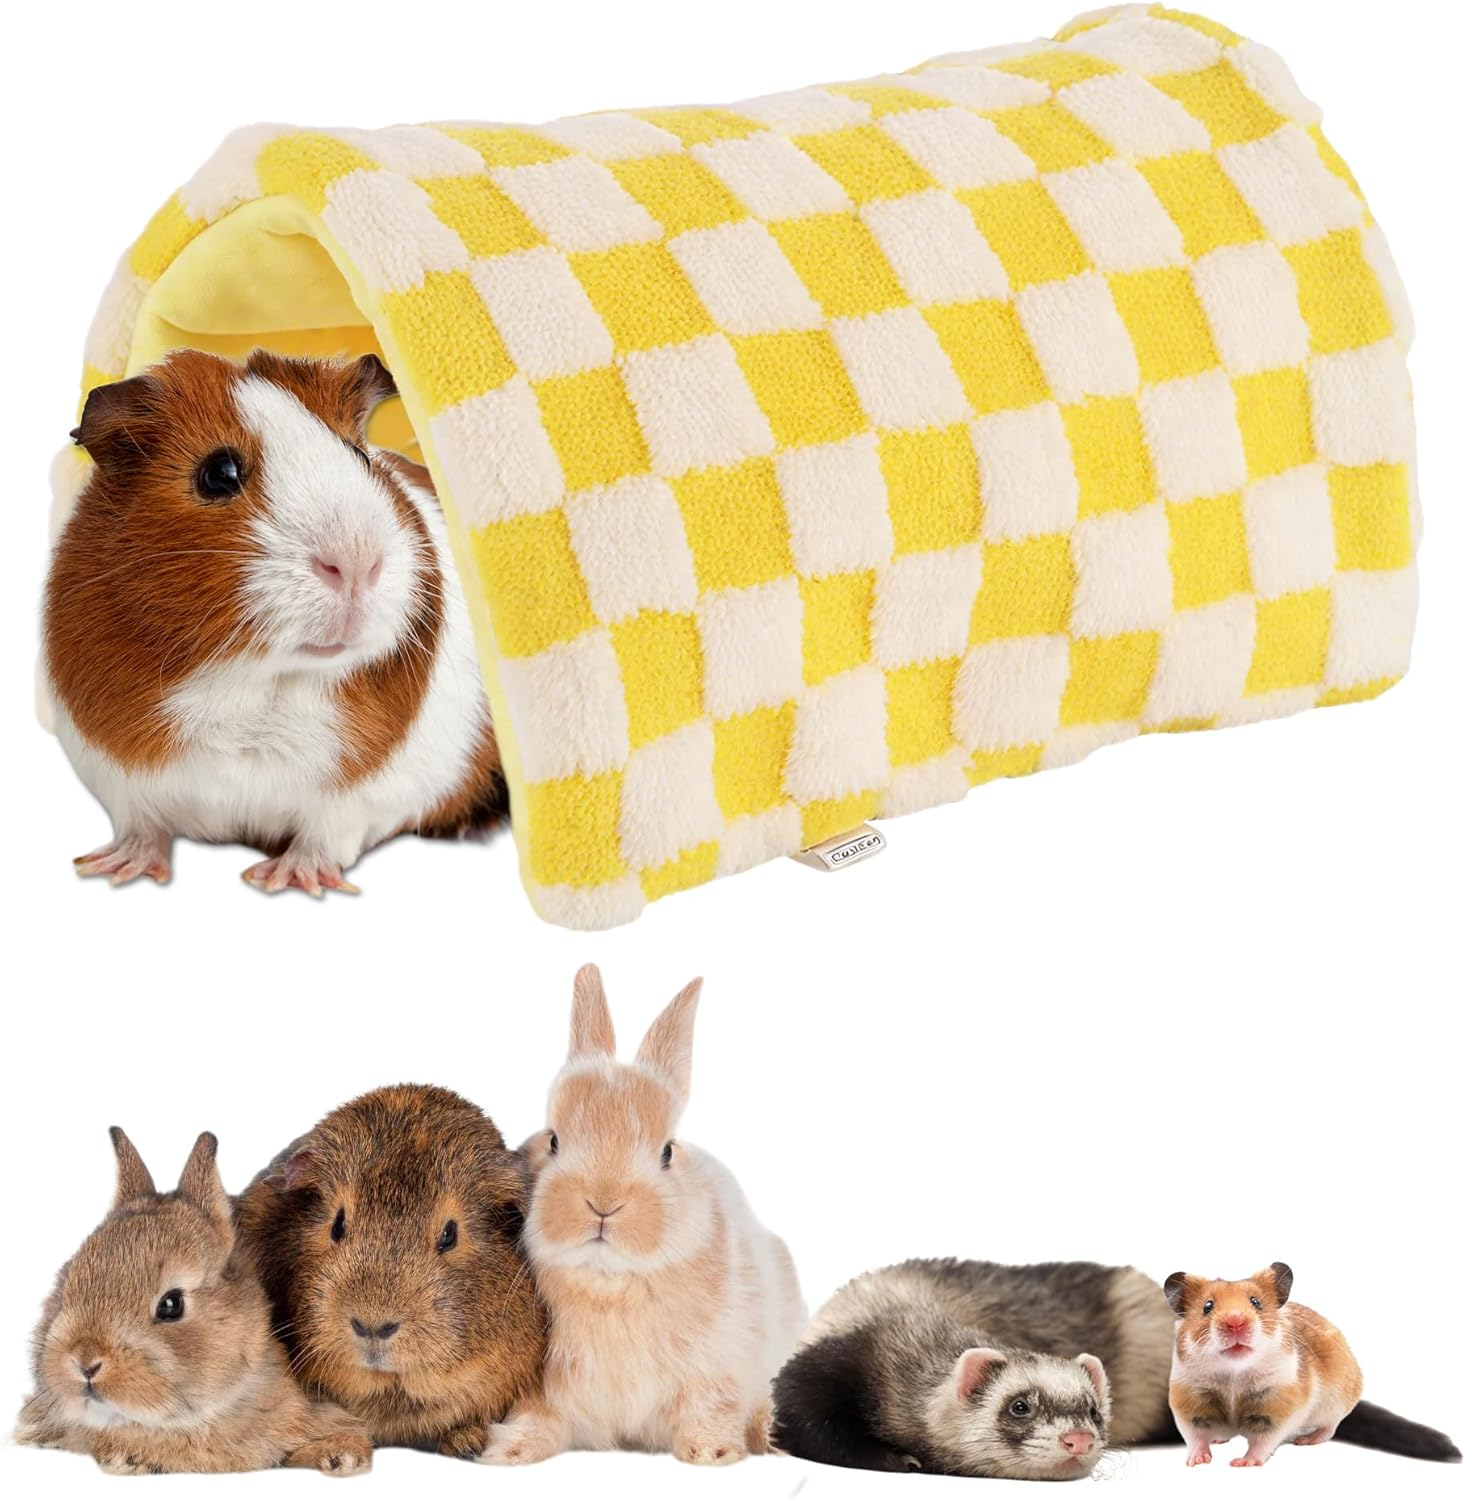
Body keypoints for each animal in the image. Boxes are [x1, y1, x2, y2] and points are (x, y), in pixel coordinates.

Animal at [44, 349, 501, 896]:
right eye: (219, 473)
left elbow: (324, 839)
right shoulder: (115, 775)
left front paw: (280, 879)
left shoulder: (364, 800)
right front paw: (110, 868)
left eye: (360, 455)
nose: (355, 562)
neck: (257, 685)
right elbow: (141, 826)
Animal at [773, 1258, 1176, 1479]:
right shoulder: (825, 1367)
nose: (1079, 1438)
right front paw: (897, 1458)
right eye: (1019, 1406)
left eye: (1094, 1410)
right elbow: (809, 1425)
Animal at [1165, 1263, 1460, 1467]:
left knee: (1331, 1426)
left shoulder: (1279, 1404)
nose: (1236, 1322)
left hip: (1337, 1399)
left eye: (1256, 1303)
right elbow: (1195, 1436)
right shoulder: (1188, 1400)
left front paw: (1243, 1463)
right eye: (1207, 1306)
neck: (1234, 1375)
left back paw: (1306, 1439)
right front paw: (1195, 1461)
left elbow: (1264, 1439)